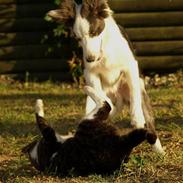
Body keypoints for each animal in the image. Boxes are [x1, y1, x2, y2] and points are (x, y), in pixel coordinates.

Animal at [22, 86, 157, 177]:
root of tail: (120, 146)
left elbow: (40, 119)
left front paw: (38, 103)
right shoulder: (49, 137)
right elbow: (40, 119)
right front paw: (38, 103)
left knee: (106, 104)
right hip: (88, 121)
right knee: (106, 105)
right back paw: (87, 88)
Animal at [47, 0, 164, 154]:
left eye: (93, 32)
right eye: (78, 38)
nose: (90, 59)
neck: (104, 49)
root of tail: (119, 96)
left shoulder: (130, 66)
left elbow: (135, 98)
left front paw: (136, 118)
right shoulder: (90, 74)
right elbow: (103, 99)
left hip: (140, 90)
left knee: (148, 118)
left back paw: (159, 150)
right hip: (90, 100)